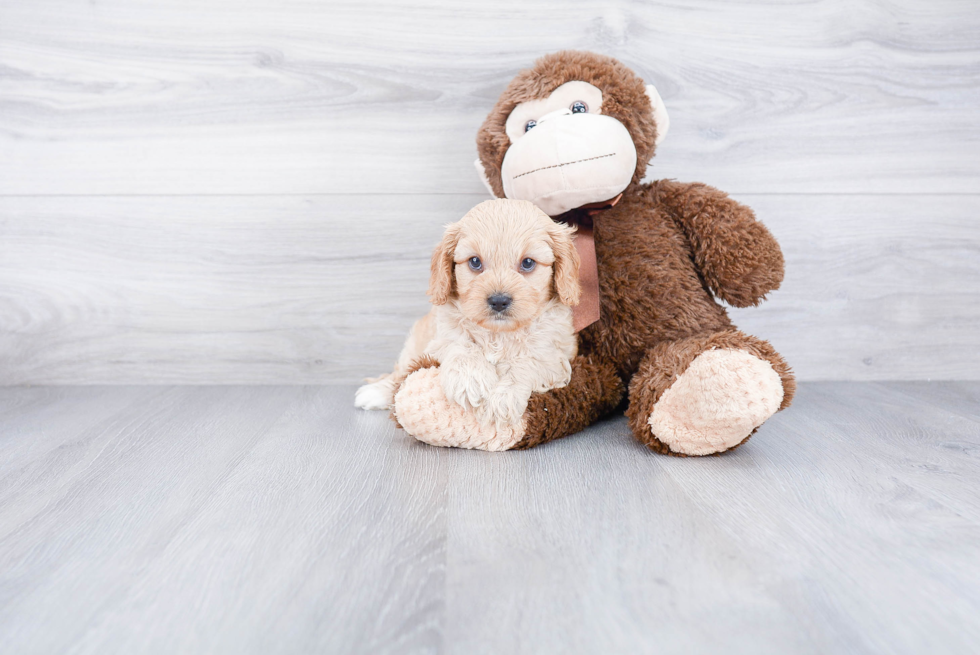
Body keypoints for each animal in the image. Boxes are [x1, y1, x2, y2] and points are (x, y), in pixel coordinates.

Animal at [354, 197, 580, 428]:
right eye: (475, 261)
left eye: (527, 263)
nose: (499, 301)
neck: (497, 334)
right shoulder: (440, 338)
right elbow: (460, 345)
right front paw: (470, 380)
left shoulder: (555, 357)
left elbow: (528, 363)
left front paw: (501, 401)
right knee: (400, 372)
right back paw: (376, 392)